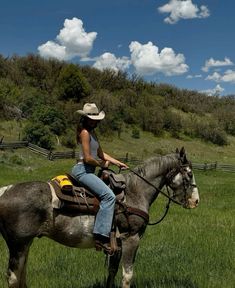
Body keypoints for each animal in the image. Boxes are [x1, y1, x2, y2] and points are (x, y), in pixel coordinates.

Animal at [0, 147, 199, 286]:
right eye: (189, 174)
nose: (195, 201)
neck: (135, 192)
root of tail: (4, 191)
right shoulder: (131, 238)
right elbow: (127, 275)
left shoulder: (116, 244)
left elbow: (112, 272)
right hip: (18, 244)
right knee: (14, 278)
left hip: (25, 244)